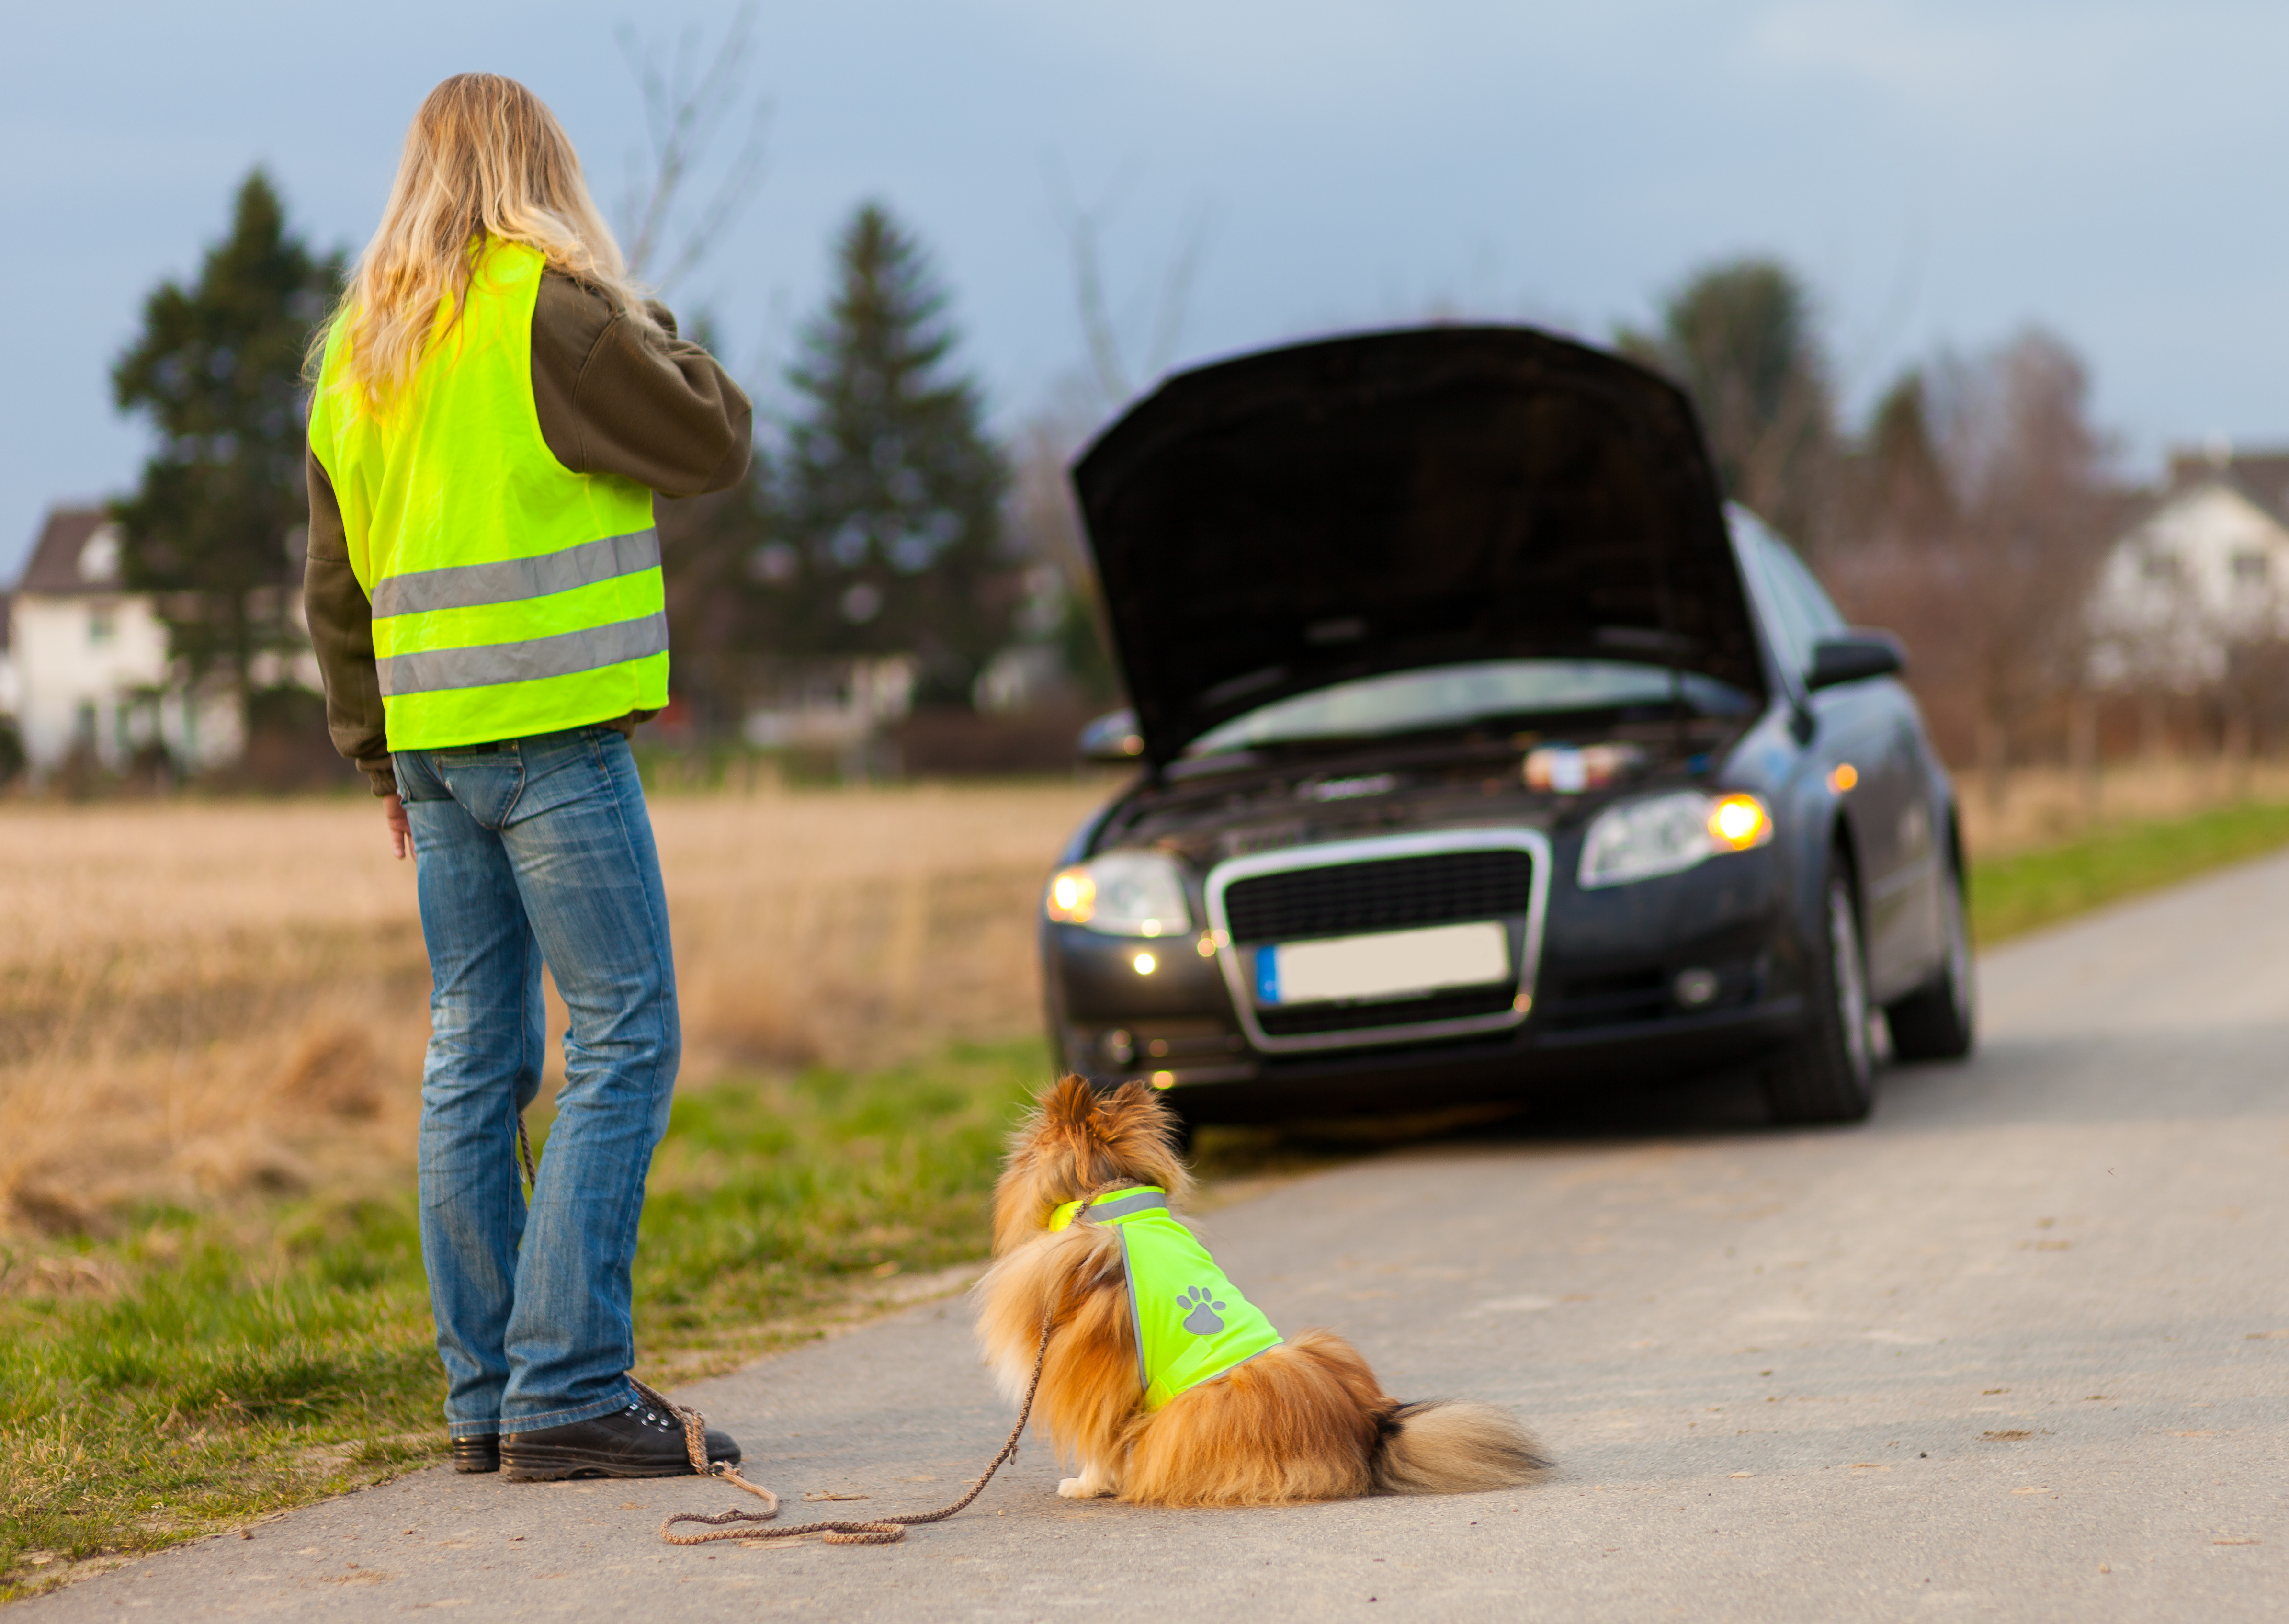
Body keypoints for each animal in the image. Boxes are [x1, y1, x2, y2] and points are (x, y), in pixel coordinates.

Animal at [975, 1076, 1547, 1511]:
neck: (1105, 1198)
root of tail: (1368, 1432)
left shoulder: (1086, 1372)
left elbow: (1097, 1439)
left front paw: (1085, 1484)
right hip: (1319, 1343)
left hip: (1193, 1411)